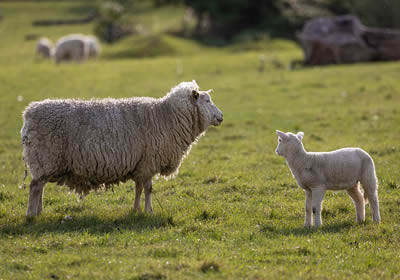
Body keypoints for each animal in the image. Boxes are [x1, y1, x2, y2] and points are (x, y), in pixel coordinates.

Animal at [21, 80, 222, 217]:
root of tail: (29, 113)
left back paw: (39, 211)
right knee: (35, 187)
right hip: (44, 158)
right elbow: (148, 189)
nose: (221, 117)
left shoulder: (140, 165)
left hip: (44, 162)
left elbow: (139, 188)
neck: (166, 116)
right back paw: (31, 214)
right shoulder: (149, 162)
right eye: (207, 101)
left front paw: (136, 209)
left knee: (39, 187)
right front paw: (149, 211)